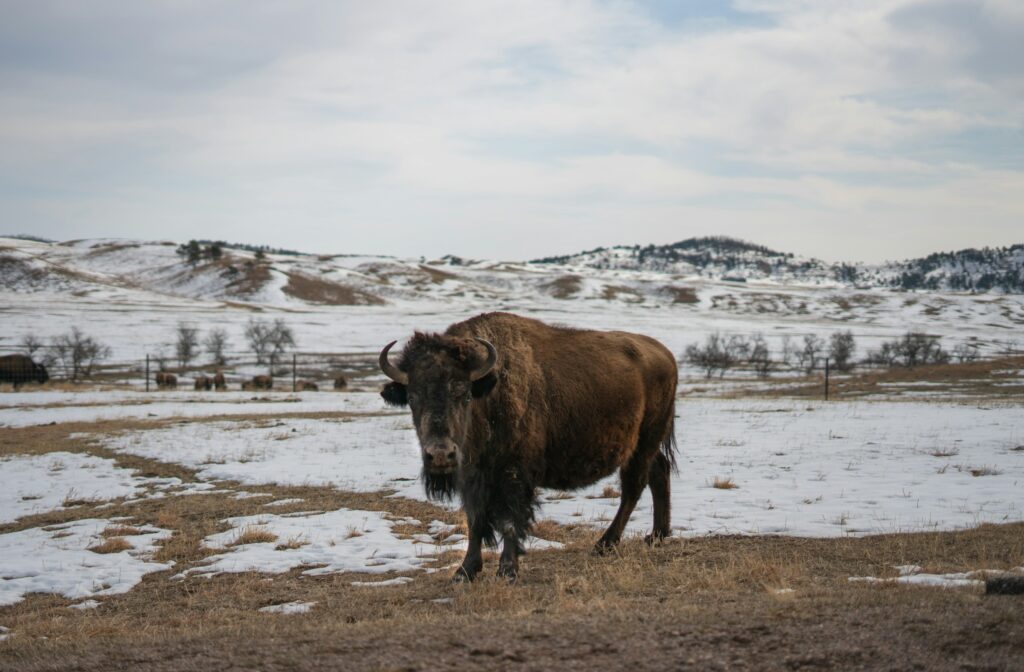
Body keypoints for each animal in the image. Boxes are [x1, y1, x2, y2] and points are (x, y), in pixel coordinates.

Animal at [379, 312, 678, 581]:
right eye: (413, 397)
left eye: (464, 394)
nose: (440, 454)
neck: (489, 393)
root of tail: (666, 355)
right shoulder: (471, 477)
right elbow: (475, 521)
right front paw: (464, 571)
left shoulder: (515, 475)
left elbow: (512, 521)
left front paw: (507, 571)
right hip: (644, 447)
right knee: (658, 472)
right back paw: (657, 536)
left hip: (644, 443)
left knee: (633, 488)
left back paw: (605, 544)